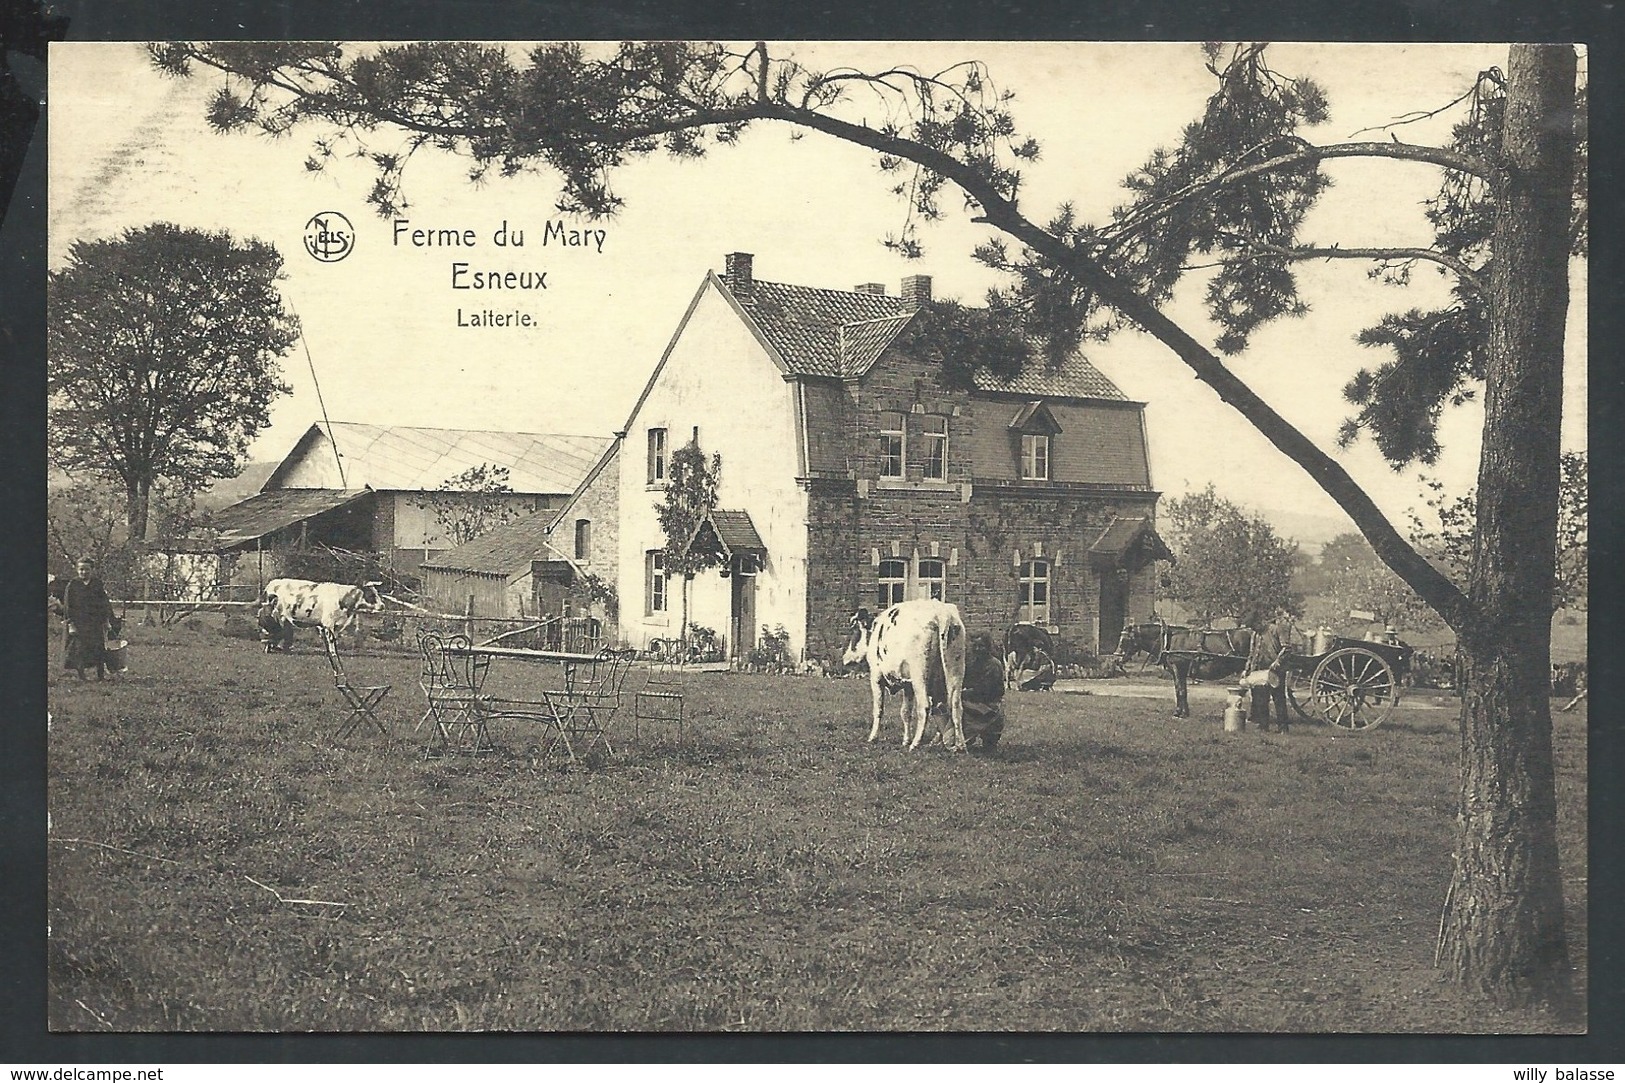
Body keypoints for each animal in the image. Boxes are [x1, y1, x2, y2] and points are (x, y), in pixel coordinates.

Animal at [838, 598, 962, 751]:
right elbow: (905, 712)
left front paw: (873, 737)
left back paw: (915, 744)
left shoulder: (876, 677)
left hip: (919, 675)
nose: (845, 658)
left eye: (854, 629)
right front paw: (905, 740)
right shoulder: (908, 685)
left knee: (925, 706)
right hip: (955, 671)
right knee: (956, 706)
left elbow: (878, 709)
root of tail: (940, 613)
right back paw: (959, 745)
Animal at [1118, 621, 1254, 712]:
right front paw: (1184, 711)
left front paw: (1178, 712)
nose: (1117, 659)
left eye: (1124, 640)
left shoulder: (1177, 668)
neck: (1168, 641)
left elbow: (1180, 690)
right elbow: (1181, 690)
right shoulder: (1179, 671)